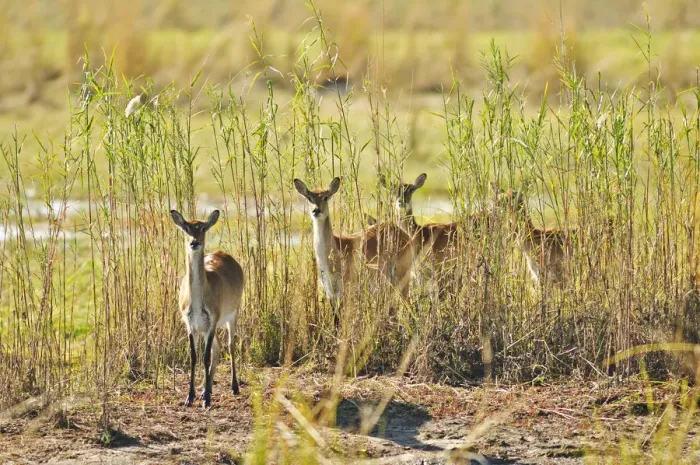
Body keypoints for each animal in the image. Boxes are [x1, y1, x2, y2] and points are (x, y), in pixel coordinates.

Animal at [170, 209, 245, 408]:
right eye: (186, 227)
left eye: (203, 228)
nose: (194, 242)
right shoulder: (191, 324)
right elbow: (194, 356)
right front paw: (190, 397)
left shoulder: (211, 321)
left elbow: (205, 356)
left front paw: (205, 400)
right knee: (217, 349)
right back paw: (207, 390)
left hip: (232, 315)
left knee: (230, 345)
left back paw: (234, 387)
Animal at [293, 177, 413, 322]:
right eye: (309, 197)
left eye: (326, 197)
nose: (316, 210)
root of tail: (403, 233)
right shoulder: (329, 292)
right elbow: (335, 319)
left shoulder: (344, 289)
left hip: (401, 277)